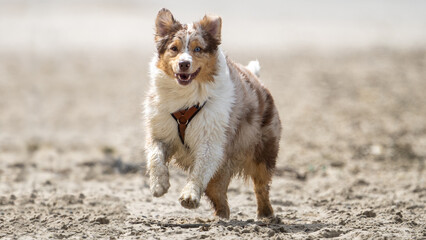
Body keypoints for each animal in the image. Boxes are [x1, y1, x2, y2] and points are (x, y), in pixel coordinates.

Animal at [145, 8, 282, 218]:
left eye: (198, 49)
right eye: (174, 48)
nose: (184, 64)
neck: (186, 96)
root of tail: (258, 81)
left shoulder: (210, 140)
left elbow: (199, 170)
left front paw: (189, 196)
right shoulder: (160, 131)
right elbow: (155, 156)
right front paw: (159, 185)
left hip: (262, 151)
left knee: (261, 186)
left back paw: (266, 215)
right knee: (218, 194)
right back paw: (221, 217)